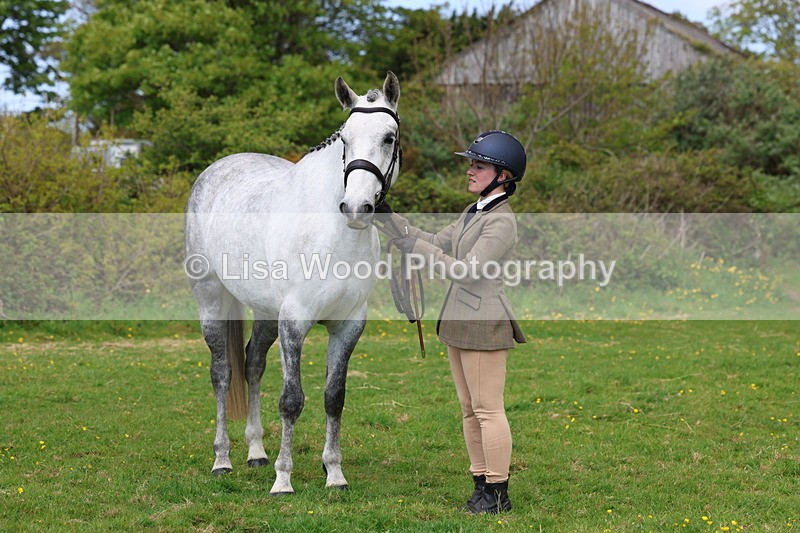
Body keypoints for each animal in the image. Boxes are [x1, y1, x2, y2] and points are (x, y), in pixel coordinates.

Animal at [184, 72, 401, 495]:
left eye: (389, 137)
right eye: (345, 139)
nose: (356, 208)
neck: (333, 235)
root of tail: (216, 170)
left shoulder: (348, 325)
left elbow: (334, 397)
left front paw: (334, 474)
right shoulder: (295, 323)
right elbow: (291, 400)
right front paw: (283, 479)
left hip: (267, 313)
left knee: (252, 365)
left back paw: (255, 453)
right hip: (212, 301)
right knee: (222, 373)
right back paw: (222, 459)